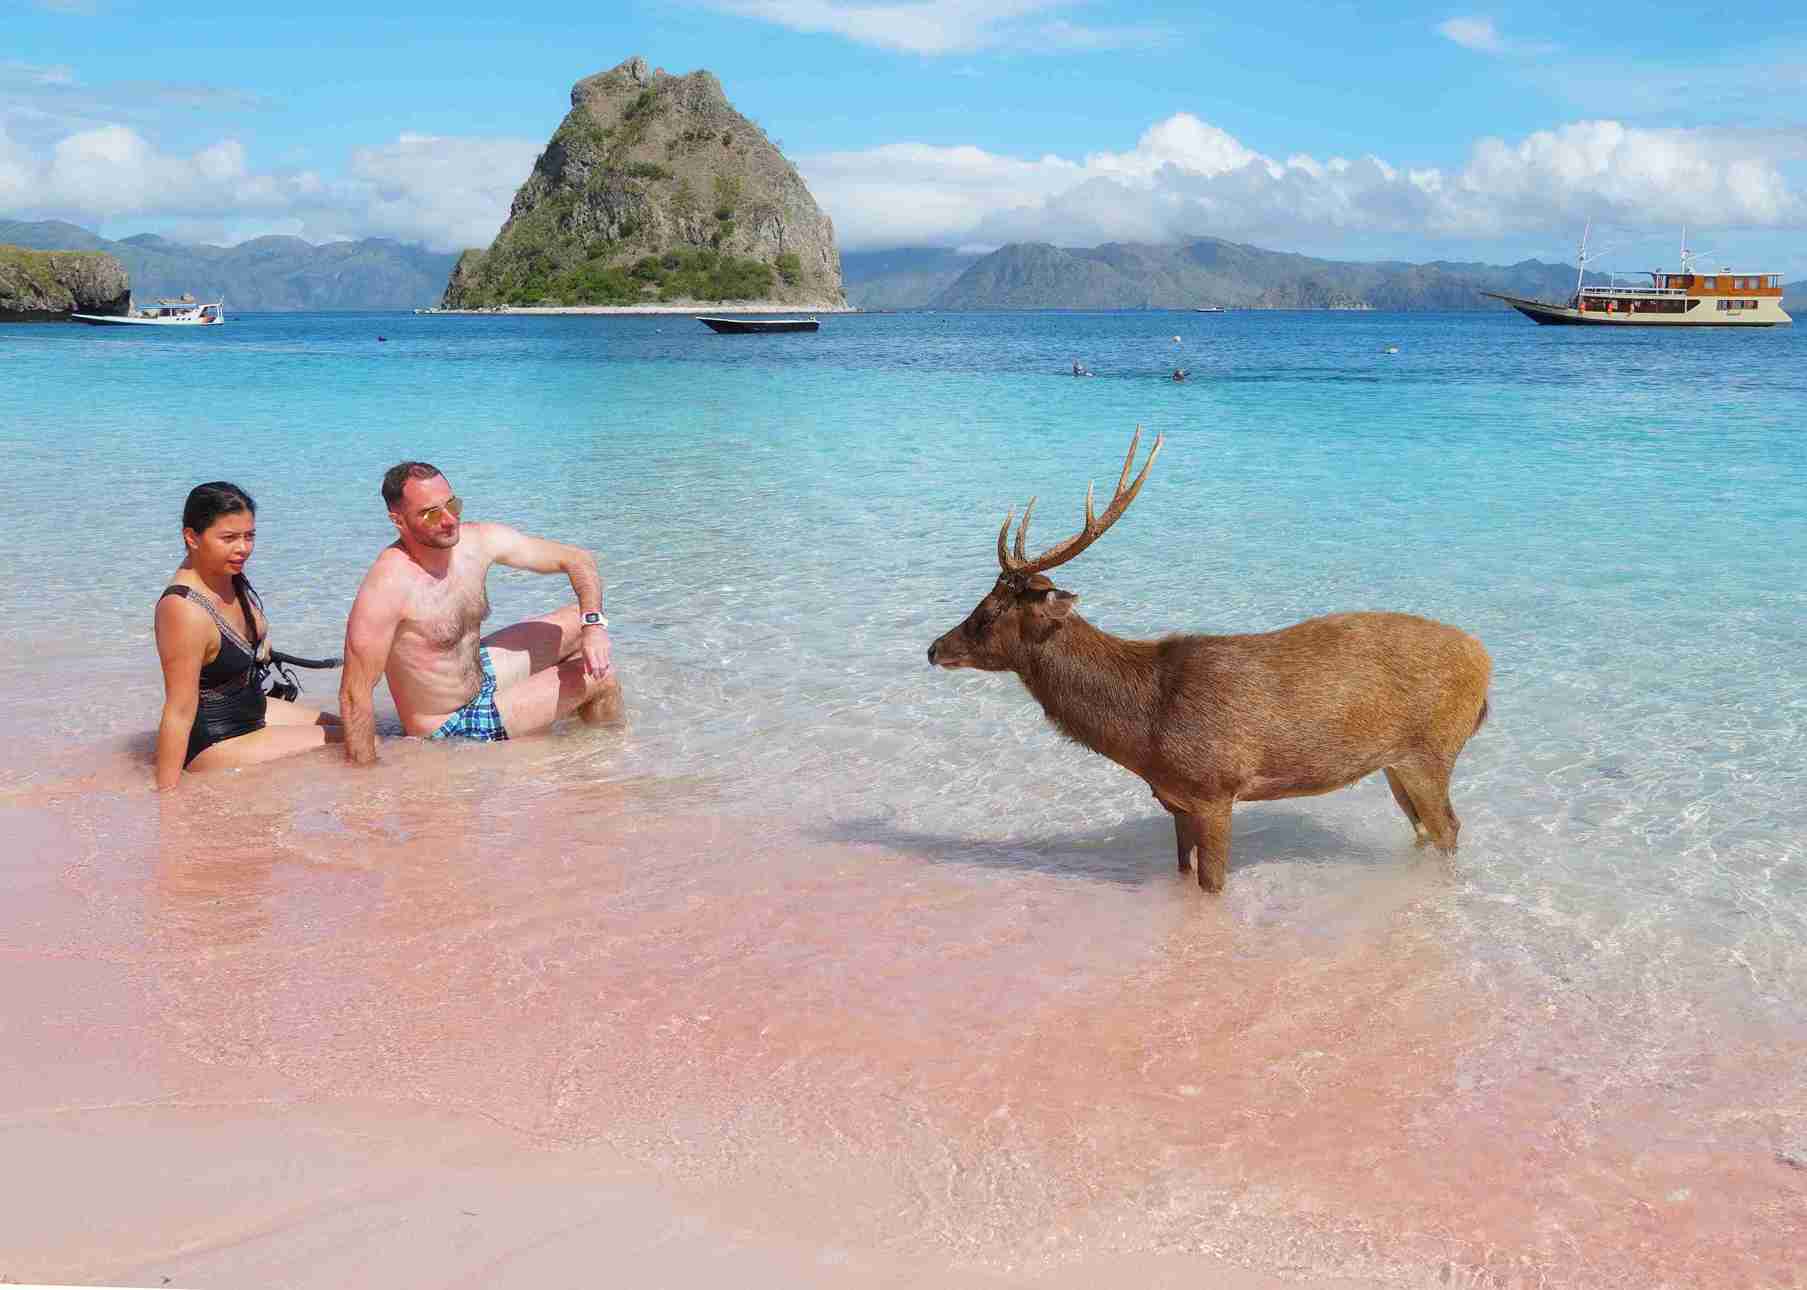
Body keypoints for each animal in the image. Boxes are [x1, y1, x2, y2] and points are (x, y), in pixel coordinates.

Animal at [925, 426, 1488, 888]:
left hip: (1431, 750)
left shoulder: (1215, 789)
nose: (934, 649)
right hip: (1395, 764)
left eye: (989, 613)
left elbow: (1212, 885)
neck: (1143, 728)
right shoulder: (1175, 800)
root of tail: (1485, 665)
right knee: (1423, 829)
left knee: (1449, 827)